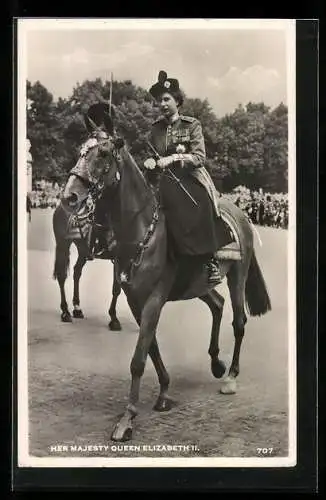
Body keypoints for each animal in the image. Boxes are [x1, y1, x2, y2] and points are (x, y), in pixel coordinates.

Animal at [59, 132, 272, 442]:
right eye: (80, 151)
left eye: (103, 154)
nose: (69, 196)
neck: (142, 230)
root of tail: (240, 212)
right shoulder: (136, 301)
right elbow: (152, 347)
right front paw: (163, 394)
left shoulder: (154, 299)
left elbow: (139, 358)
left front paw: (127, 419)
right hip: (199, 285)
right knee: (217, 305)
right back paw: (216, 363)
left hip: (238, 276)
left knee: (239, 322)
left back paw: (231, 376)